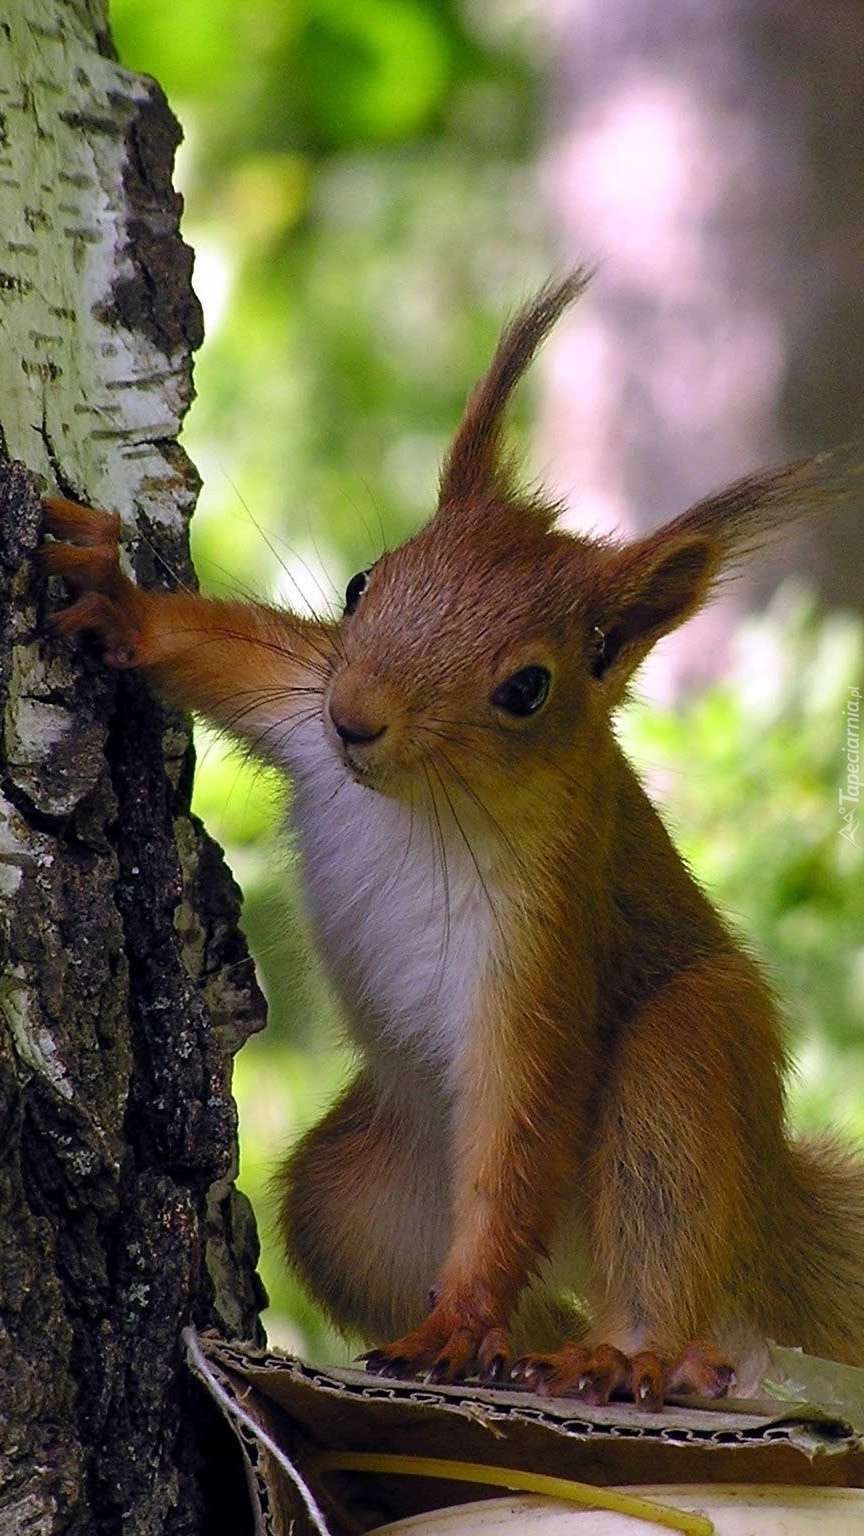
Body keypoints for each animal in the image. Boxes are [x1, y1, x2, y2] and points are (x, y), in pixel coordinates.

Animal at [40, 273, 860, 1406]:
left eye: (527, 690)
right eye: (362, 584)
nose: (358, 719)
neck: (419, 802)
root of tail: (772, 1210)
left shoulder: (545, 930)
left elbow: (520, 1124)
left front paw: (462, 1315)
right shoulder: (300, 698)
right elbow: (223, 653)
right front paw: (115, 599)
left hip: (690, 1059)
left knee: (663, 1215)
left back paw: (630, 1351)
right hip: (354, 1200)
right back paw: (524, 1347)